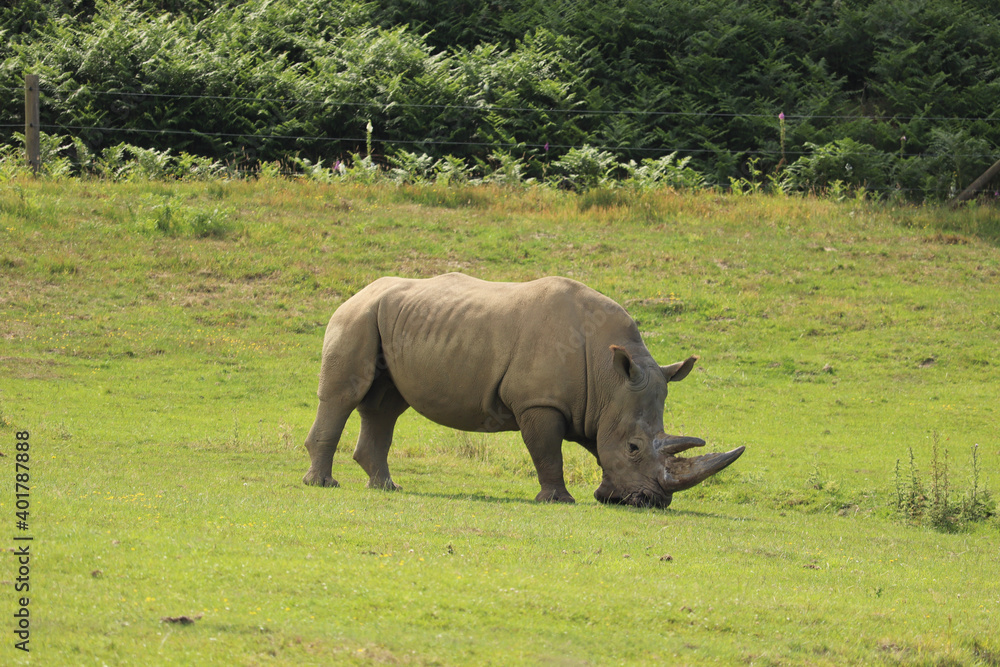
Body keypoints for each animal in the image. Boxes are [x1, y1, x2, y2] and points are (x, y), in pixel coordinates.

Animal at [303, 273, 744, 507]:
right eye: (634, 447)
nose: (650, 503)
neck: (609, 378)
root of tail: (359, 291)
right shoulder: (539, 403)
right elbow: (547, 452)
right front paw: (559, 501)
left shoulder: (593, 407)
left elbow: (589, 448)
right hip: (356, 316)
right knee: (344, 396)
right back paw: (322, 485)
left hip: (389, 320)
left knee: (386, 407)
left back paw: (386, 487)